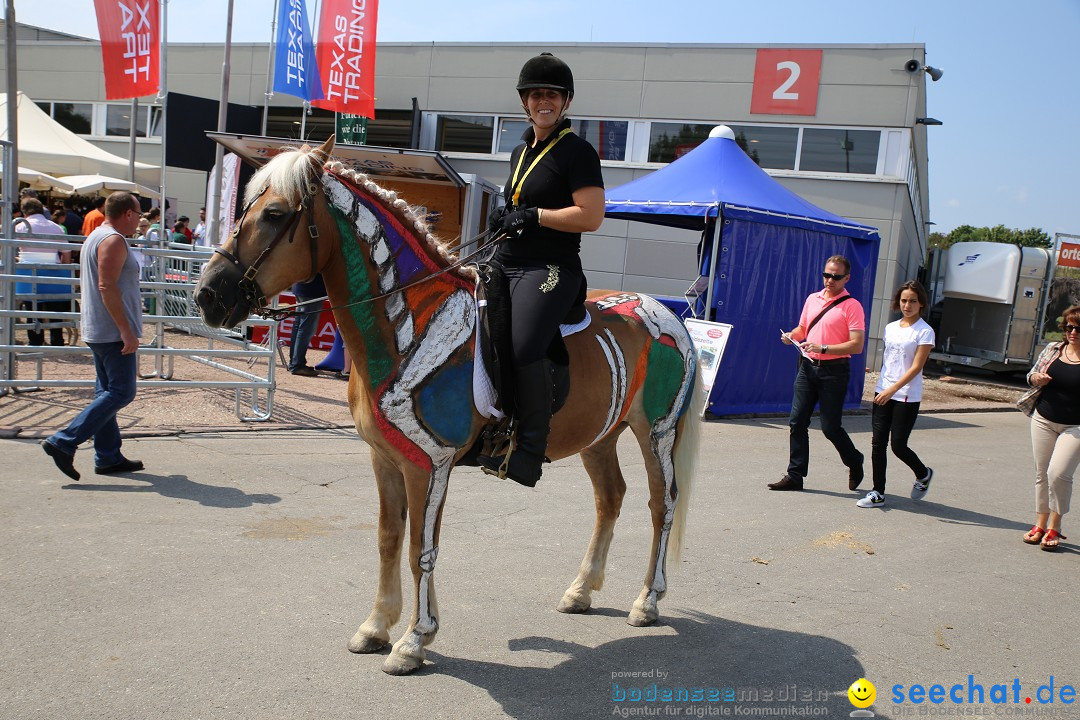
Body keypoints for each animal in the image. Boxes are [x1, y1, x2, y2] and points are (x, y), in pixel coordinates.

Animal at [193, 136, 704, 677]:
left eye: (273, 213)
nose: (208, 294)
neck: (408, 324)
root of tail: (667, 313)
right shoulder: (385, 460)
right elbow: (389, 539)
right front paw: (377, 626)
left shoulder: (429, 464)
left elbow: (422, 549)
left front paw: (414, 640)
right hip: (600, 437)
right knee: (611, 498)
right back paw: (582, 590)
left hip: (658, 434)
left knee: (663, 504)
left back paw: (648, 600)